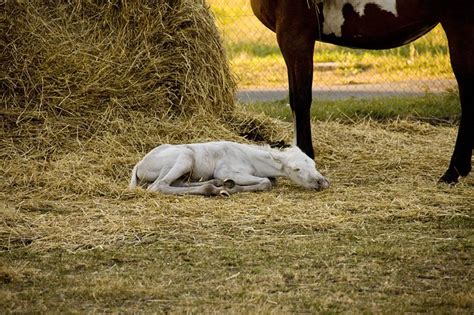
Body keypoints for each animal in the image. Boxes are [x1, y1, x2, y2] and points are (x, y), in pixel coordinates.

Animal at [130, 141, 330, 195]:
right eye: (296, 169)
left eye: (313, 164)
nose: (322, 182)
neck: (251, 159)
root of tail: (139, 165)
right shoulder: (227, 170)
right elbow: (267, 182)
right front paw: (230, 186)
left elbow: (272, 180)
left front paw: (227, 184)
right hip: (184, 158)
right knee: (158, 186)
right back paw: (215, 188)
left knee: (174, 183)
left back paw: (218, 185)